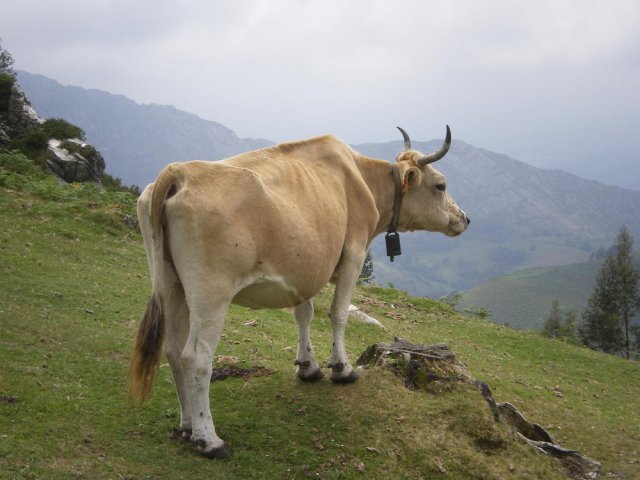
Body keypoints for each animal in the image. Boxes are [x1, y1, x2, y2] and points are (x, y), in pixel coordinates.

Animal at [131, 124, 470, 458]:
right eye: (440, 185)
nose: (464, 218)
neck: (362, 180)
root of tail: (179, 171)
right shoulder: (354, 254)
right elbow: (338, 314)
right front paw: (341, 369)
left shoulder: (304, 269)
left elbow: (303, 313)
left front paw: (308, 366)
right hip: (211, 291)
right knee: (196, 357)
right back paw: (208, 439)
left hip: (169, 282)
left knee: (173, 349)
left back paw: (187, 425)